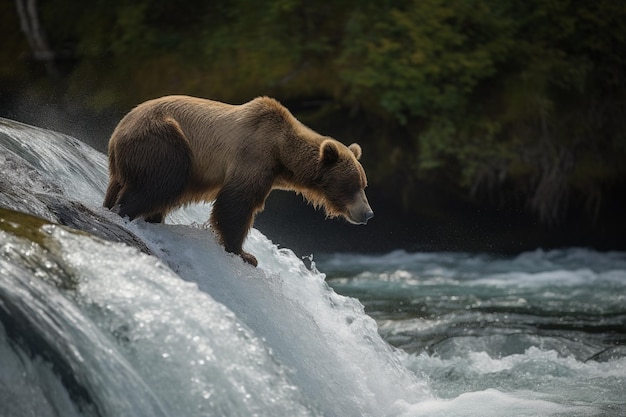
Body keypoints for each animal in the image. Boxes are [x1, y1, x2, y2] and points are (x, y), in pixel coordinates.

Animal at [105, 95, 372, 264]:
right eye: (352, 185)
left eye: (363, 184)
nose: (368, 213)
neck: (281, 153)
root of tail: (116, 134)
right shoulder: (253, 155)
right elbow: (236, 203)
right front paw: (245, 254)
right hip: (164, 141)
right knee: (161, 184)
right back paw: (126, 211)